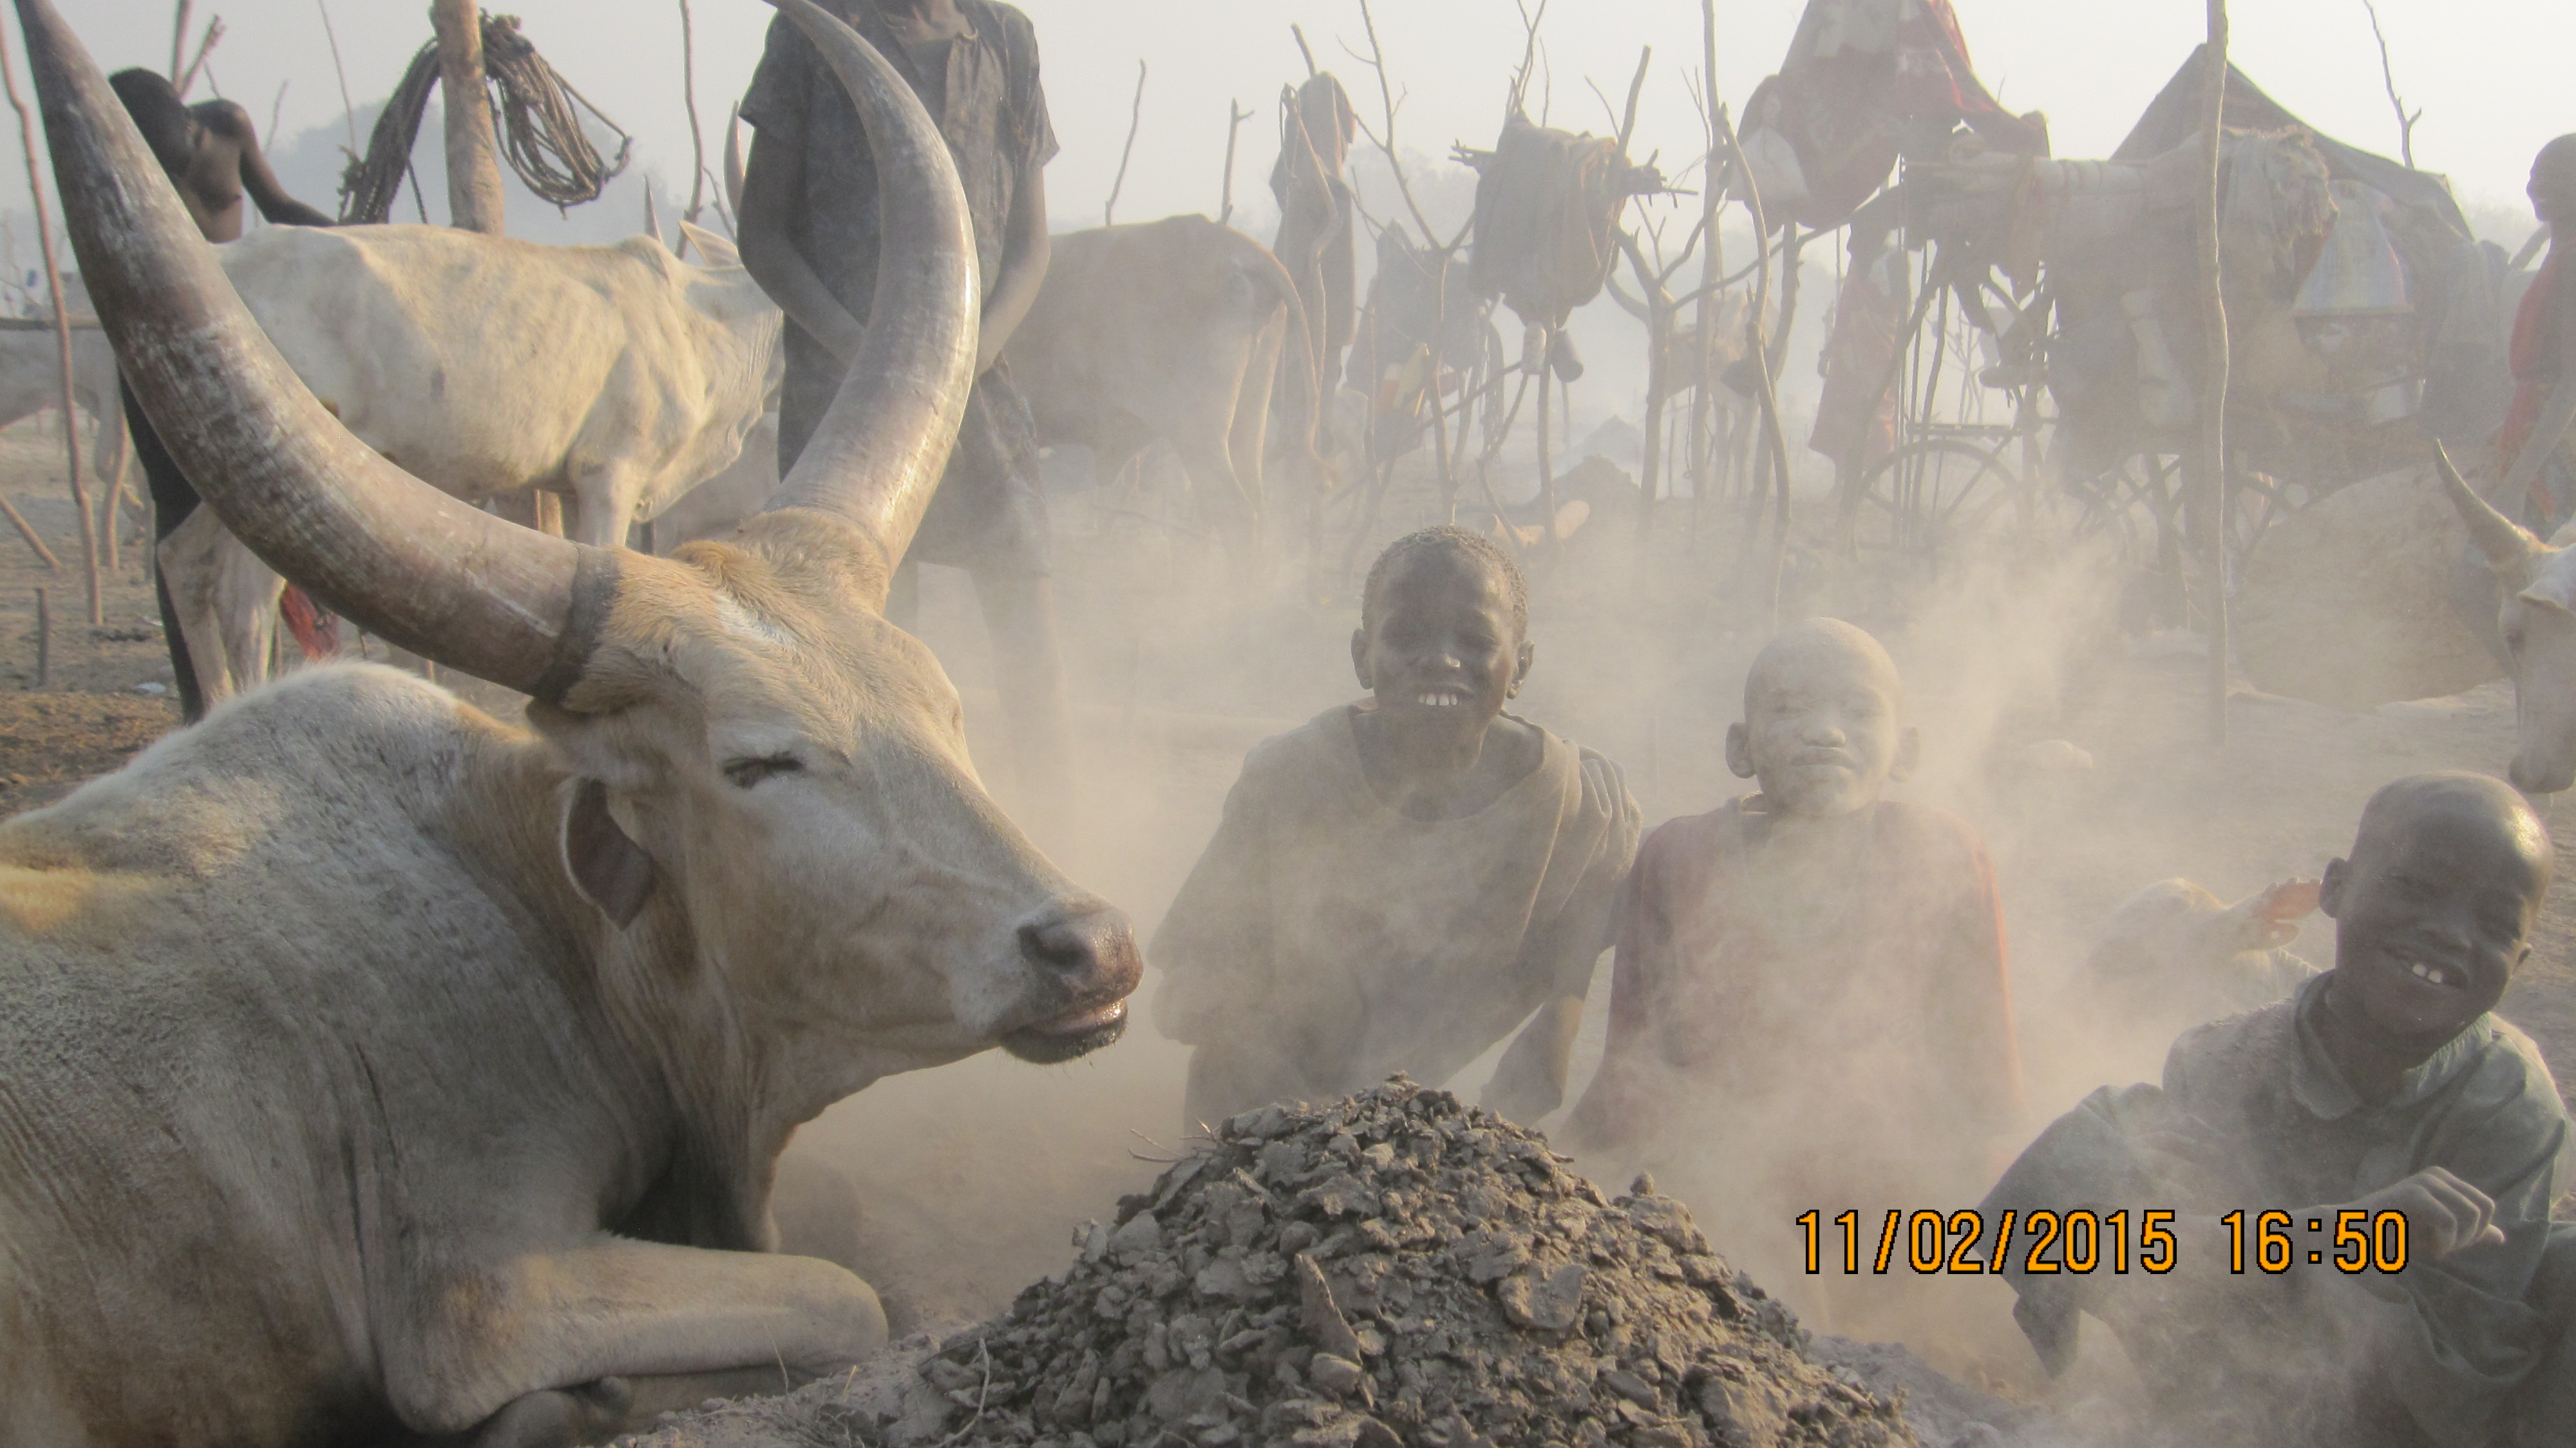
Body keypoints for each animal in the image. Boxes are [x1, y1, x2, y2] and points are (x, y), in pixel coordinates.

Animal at [162, 217, 783, 704]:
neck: (701, 324)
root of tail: (222, 255)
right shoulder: (611, 475)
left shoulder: (562, 486)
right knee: (245, 604)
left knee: (184, 563)